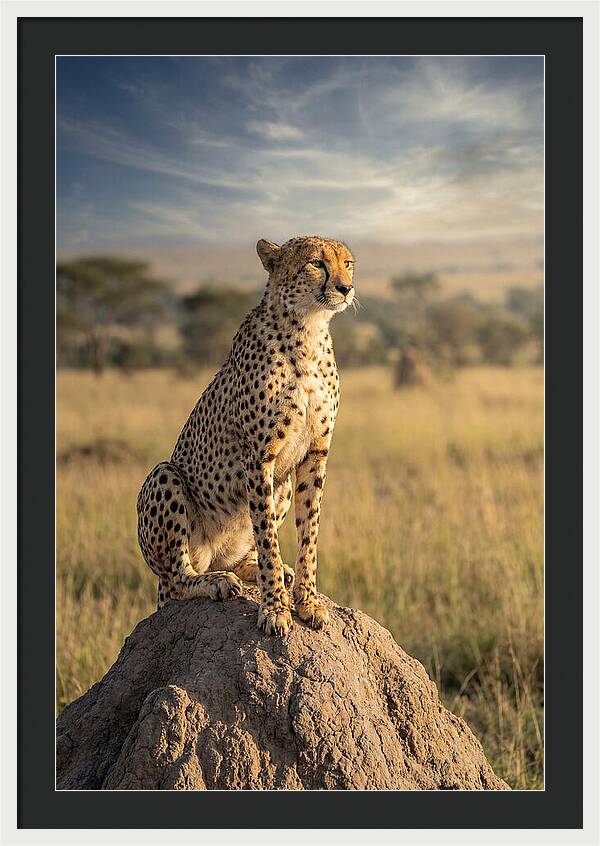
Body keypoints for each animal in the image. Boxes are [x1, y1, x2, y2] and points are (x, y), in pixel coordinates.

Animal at [136, 235, 355, 636]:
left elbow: (309, 532)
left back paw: (258, 571)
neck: (308, 329)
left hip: (282, 485)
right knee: (178, 579)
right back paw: (216, 582)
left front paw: (307, 601)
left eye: (348, 263)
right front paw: (275, 609)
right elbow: (267, 536)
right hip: (164, 478)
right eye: (316, 263)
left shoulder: (315, 454)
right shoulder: (258, 457)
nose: (345, 288)